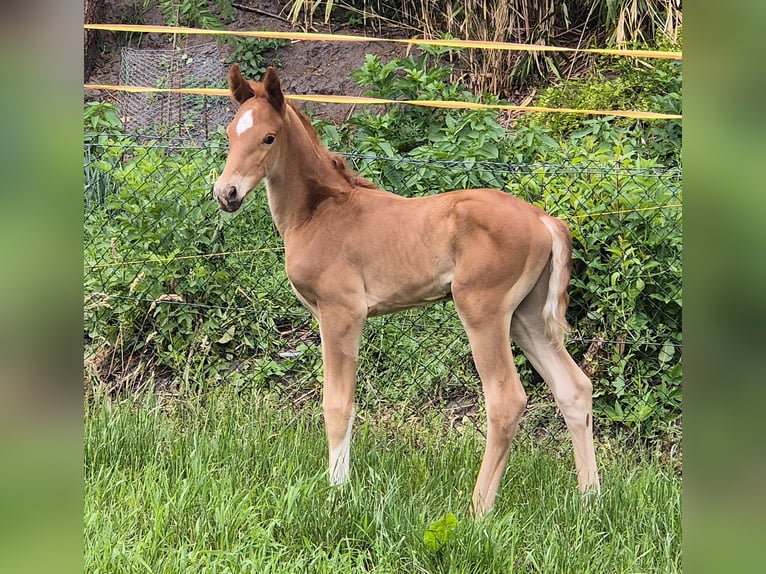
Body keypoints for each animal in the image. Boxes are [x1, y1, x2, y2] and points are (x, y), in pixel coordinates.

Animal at [212, 64, 600, 516]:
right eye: (230, 133)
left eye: (269, 137)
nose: (226, 193)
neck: (319, 212)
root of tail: (543, 219)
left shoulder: (341, 313)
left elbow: (337, 404)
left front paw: (337, 492)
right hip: (527, 316)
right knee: (574, 389)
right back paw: (591, 499)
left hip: (482, 310)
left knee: (506, 399)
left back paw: (479, 509)